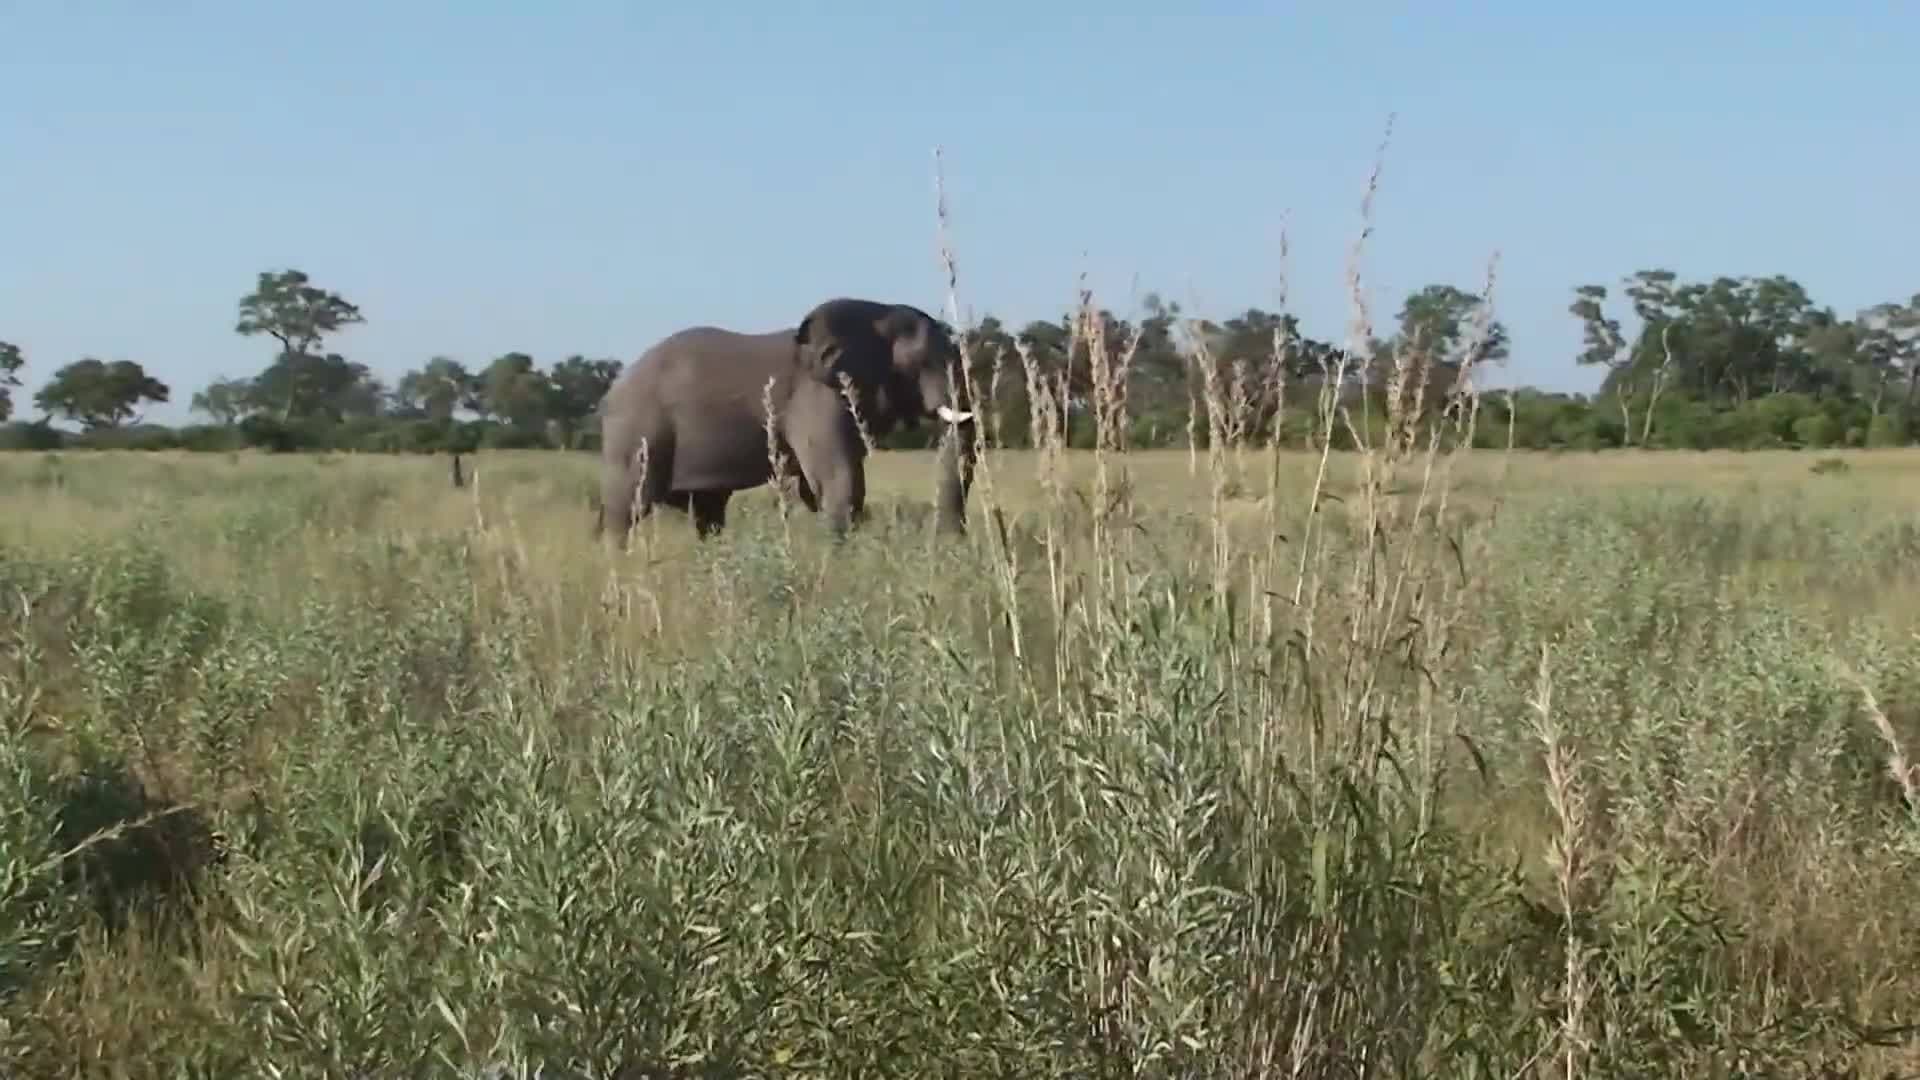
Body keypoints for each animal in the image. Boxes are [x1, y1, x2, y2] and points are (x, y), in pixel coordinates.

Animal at [595, 297, 978, 544]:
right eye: (921, 361)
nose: (951, 543)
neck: (876, 312)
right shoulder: (817, 396)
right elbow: (839, 480)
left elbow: (818, 488)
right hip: (636, 434)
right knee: (626, 510)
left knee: (708, 511)